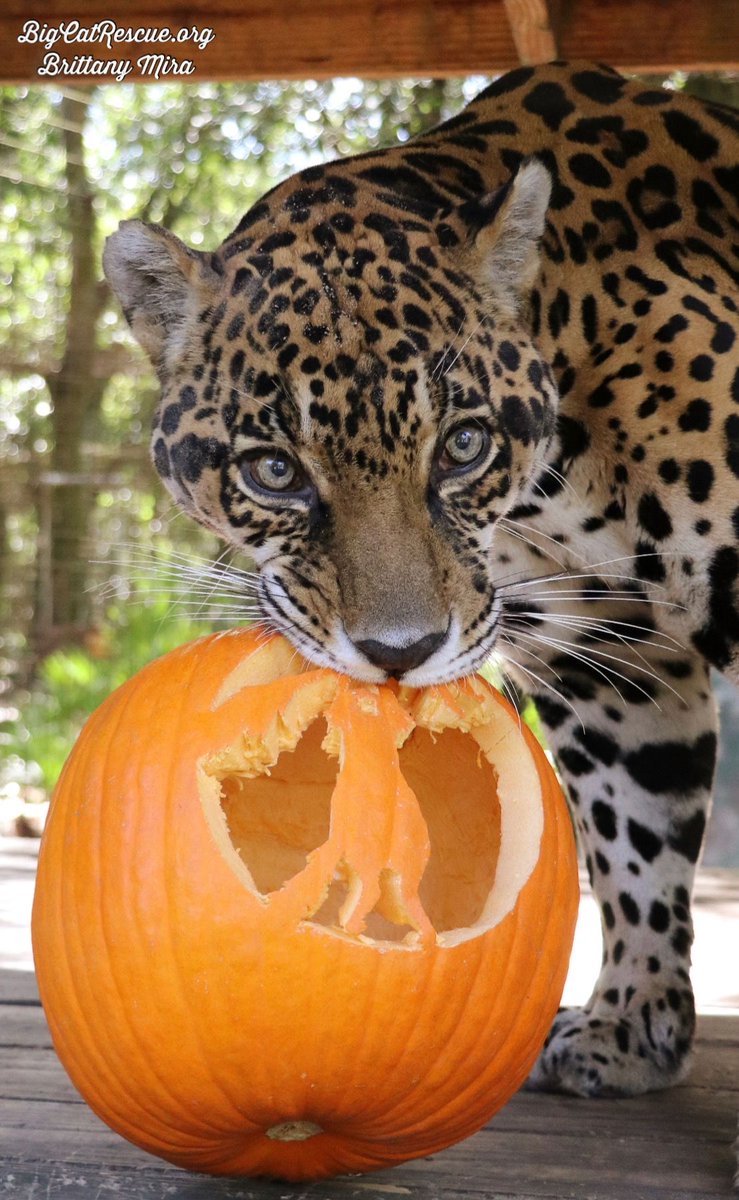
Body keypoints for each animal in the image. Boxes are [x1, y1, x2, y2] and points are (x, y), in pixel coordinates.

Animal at [103, 61, 739, 1105]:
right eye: (273, 470)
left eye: (463, 445)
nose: (398, 653)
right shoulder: (609, 658)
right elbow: (636, 833)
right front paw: (631, 1025)